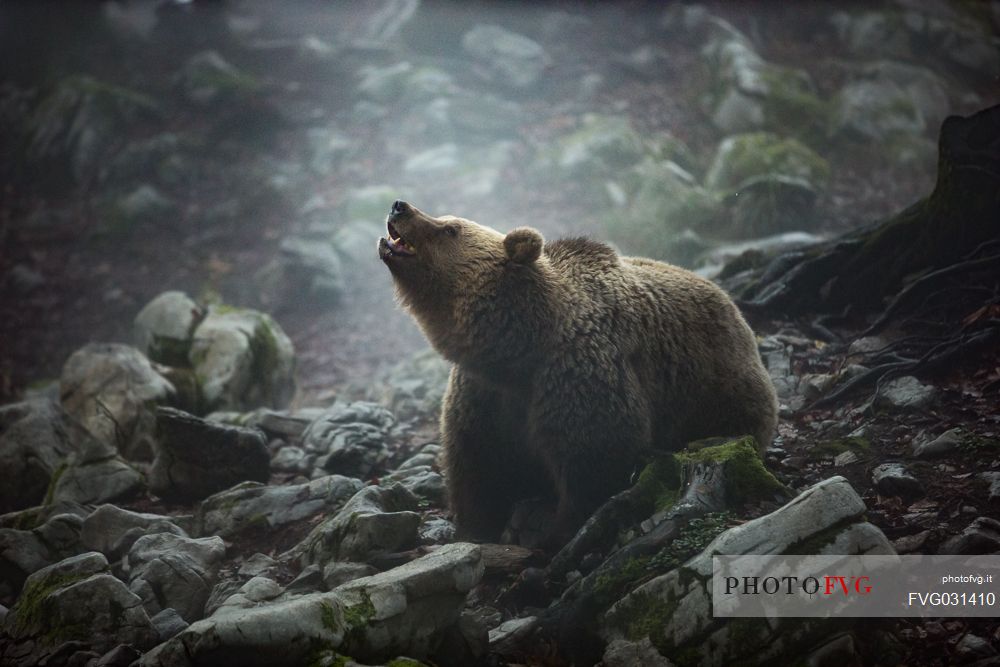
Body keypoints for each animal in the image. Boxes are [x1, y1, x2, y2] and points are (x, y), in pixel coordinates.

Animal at [378, 198, 776, 544]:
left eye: (451, 228)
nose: (400, 206)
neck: (516, 351)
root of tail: (731, 304)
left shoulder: (577, 372)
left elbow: (595, 455)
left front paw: (554, 530)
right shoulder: (483, 393)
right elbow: (477, 463)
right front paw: (478, 527)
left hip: (716, 389)